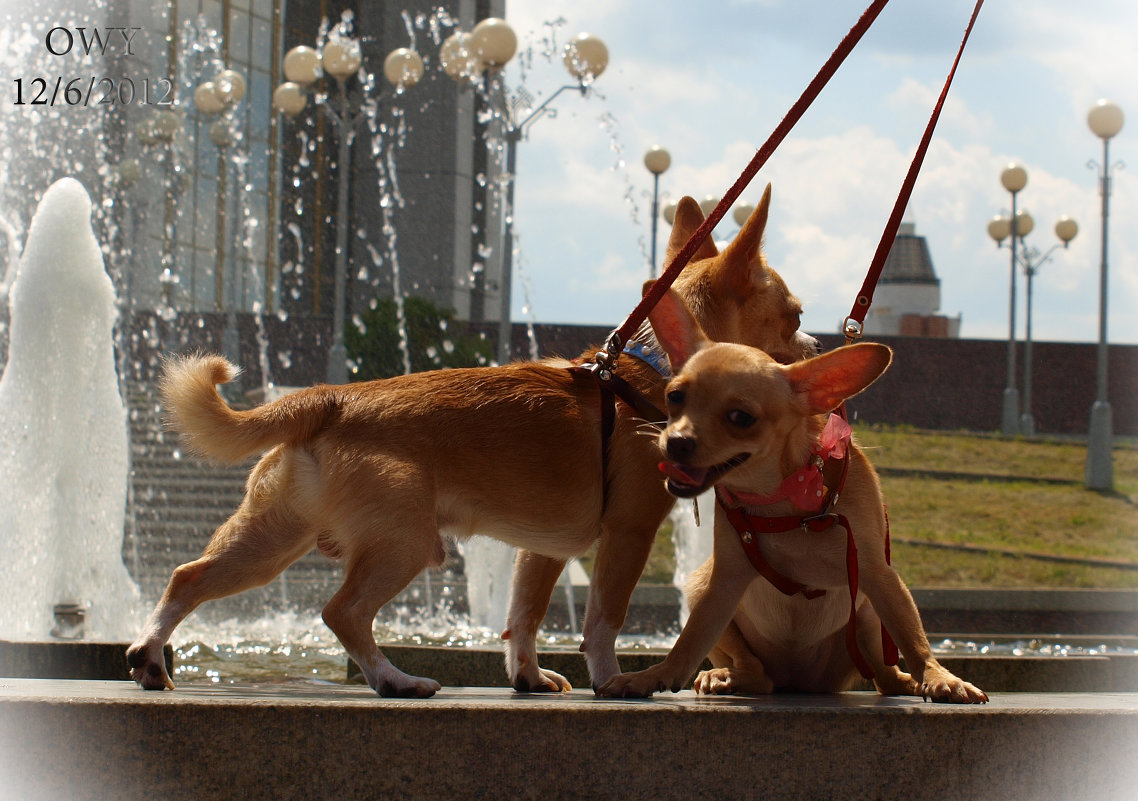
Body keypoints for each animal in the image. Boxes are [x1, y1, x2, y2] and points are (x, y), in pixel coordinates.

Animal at [129, 186, 819, 696]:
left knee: (189, 577)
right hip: (405, 543)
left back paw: (149, 655)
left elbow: (523, 616)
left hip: (271, 540)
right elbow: (602, 618)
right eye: (796, 315)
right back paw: (394, 679)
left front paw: (528, 677)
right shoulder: (629, 531)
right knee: (342, 612)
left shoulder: (542, 550)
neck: (647, 366)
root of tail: (328, 398)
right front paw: (611, 681)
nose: (816, 347)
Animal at [596, 291, 987, 705]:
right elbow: (687, 643)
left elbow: (914, 638)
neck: (783, 498)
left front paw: (940, 676)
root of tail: (797, 681)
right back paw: (724, 676)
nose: (677, 441)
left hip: (866, 618)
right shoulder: (723, 582)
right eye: (675, 397)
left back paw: (909, 681)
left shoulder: (880, 576)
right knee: (754, 672)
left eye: (741, 418)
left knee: (886, 675)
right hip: (700, 590)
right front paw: (650, 677)